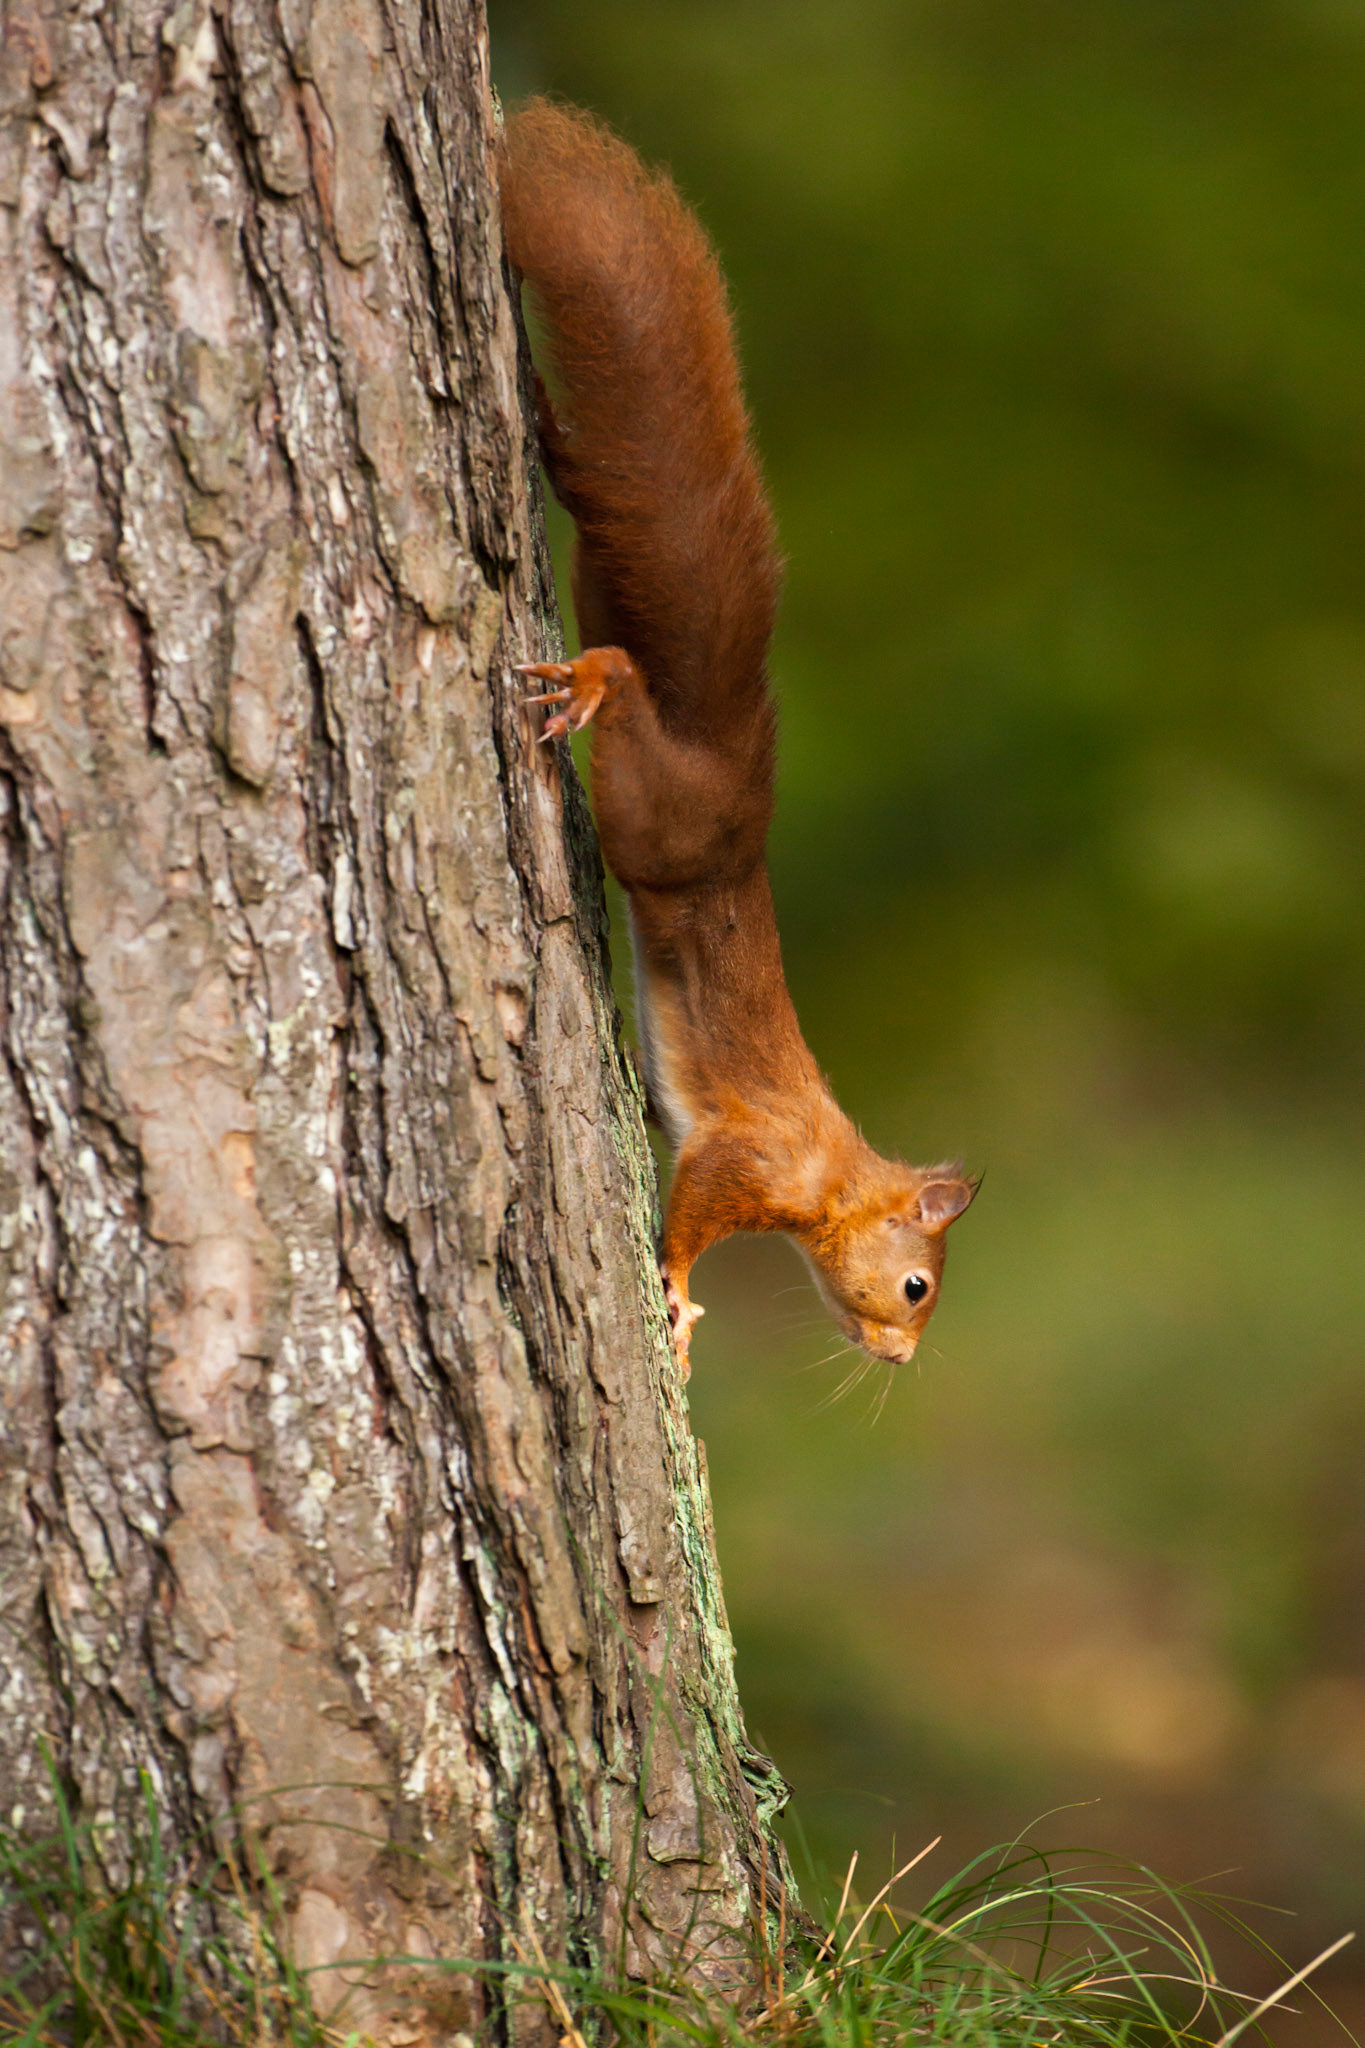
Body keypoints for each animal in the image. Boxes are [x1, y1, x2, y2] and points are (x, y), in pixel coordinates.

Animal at [499, 99, 975, 1374]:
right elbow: (693, 1208)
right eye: (916, 1283)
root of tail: (734, 776)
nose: (898, 1360)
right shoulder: (750, 1158)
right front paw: (673, 1289)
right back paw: (594, 682)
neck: (836, 1169)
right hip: (656, 816)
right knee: (624, 695)